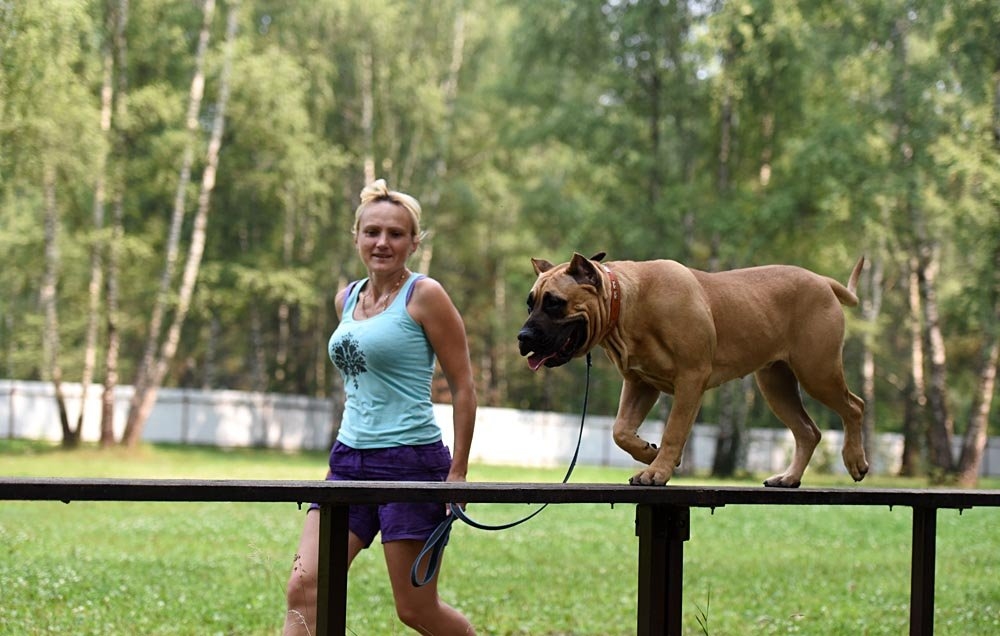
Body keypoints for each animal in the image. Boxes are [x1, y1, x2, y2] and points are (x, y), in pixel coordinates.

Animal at [517, 252, 868, 487]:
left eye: (554, 302)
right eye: (530, 303)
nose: (523, 337)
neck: (627, 304)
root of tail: (822, 281)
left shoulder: (690, 380)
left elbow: (673, 430)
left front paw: (657, 471)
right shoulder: (640, 383)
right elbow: (620, 431)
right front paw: (651, 453)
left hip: (817, 372)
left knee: (854, 406)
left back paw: (855, 460)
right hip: (776, 384)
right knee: (808, 431)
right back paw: (790, 477)